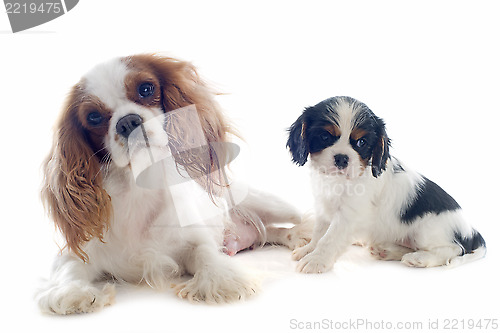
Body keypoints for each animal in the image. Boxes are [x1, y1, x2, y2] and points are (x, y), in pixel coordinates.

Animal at [288, 96, 486, 272]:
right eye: (324, 136)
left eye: (361, 142)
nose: (342, 158)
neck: (339, 181)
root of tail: (472, 231)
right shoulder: (323, 207)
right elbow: (319, 232)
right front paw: (308, 250)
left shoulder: (349, 216)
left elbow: (329, 238)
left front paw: (316, 260)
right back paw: (385, 250)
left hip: (427, 231)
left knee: (453, 249)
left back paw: (420, 258)